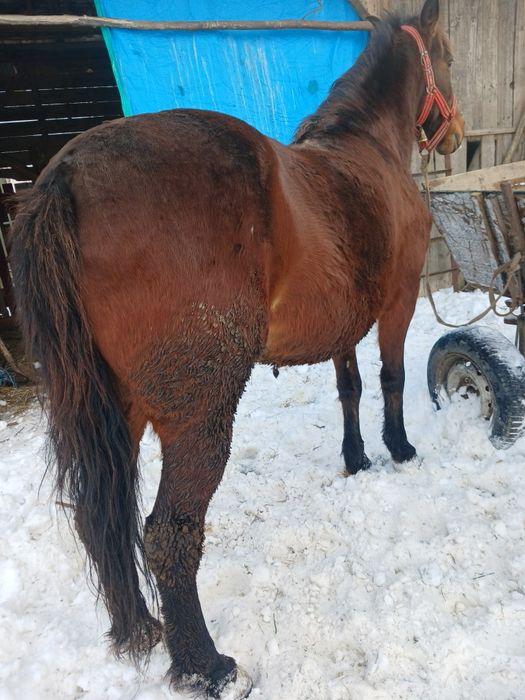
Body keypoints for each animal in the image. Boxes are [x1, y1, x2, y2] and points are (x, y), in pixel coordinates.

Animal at [10, 0, 464, 697]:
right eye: (449, 56)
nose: (458, 134)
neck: (366, 149)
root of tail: (64, 180)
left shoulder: (343, 326)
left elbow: (350, 388)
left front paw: (357, 458)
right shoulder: (397, 304)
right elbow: (390, 380)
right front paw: (400, 448)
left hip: (116, 412)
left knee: (101, 518)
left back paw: (140, 632)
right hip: (198, 414)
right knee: (167, 534)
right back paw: (205, 665)